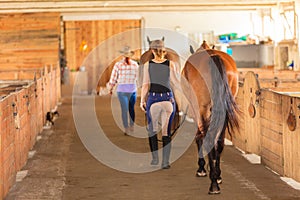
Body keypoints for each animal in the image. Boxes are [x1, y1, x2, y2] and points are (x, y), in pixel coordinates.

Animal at [183, 43, 239, 194]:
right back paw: (217, 177)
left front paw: (201, 168)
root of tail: (214, 56)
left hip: (202, 108)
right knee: (219, 142)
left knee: (207, 139)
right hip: (223, 110)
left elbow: (199, 137)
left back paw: (213, 184)